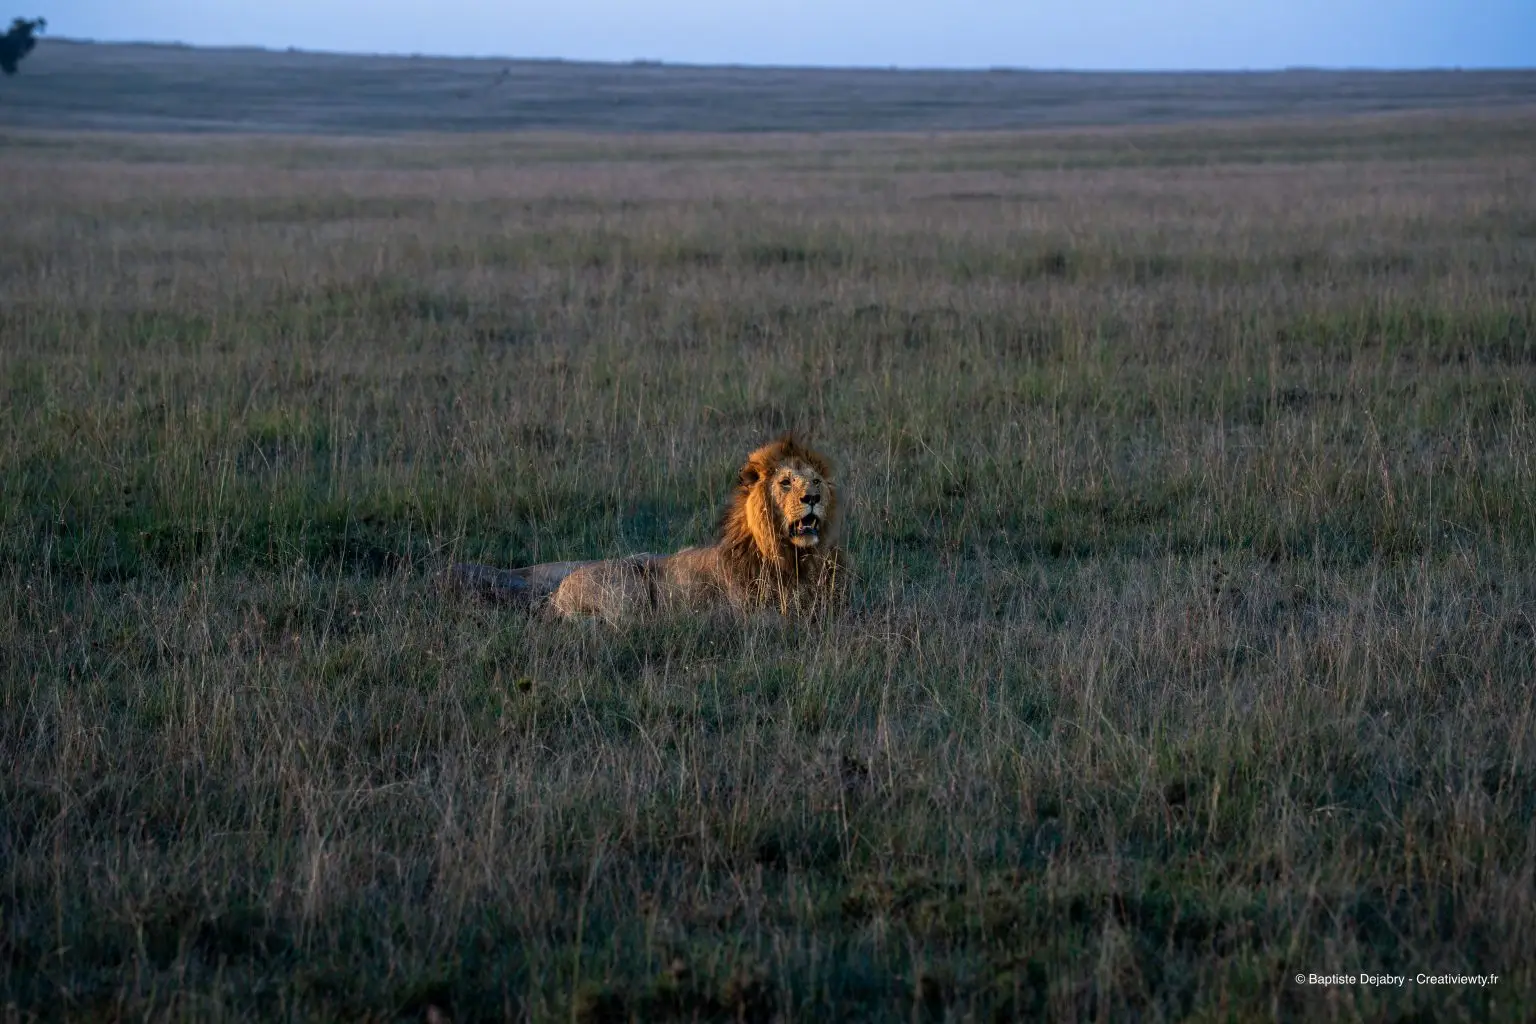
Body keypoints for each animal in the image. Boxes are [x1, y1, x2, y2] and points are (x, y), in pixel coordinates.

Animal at [450, 435, 848, 622]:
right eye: (785, 482)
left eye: (815, 480)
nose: (812, 497)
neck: (791, 557)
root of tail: (557, 592)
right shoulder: (745, 613)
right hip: (628, 587)